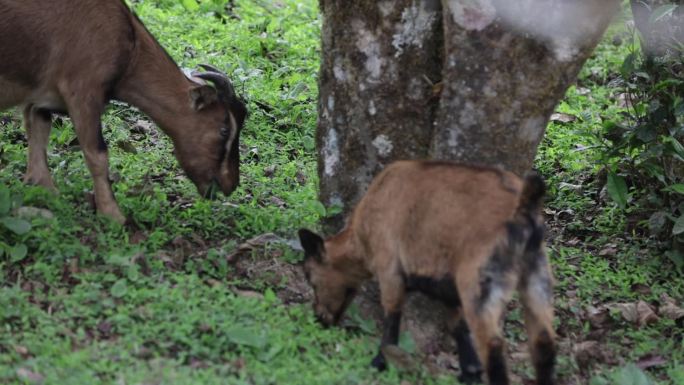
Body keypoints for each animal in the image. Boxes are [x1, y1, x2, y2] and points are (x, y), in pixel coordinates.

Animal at [0, 0, 246, 222]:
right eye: (224, 129)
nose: (231, 184)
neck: (131, 46)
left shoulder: (41, 98)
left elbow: (38, 132)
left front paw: (46, 191)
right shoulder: (82, 91)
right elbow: (97, 153)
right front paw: (113, 215)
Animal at [300, 160, 556, 384]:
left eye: (310, 278)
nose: (318, 318)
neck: (361, 237)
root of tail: (523, 204)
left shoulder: (389, 268)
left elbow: (392, 318)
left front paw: (379, 362)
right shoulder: (446, 288)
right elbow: (457, 326)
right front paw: (470, 372)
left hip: (479, 282)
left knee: (493, 344)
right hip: (537, 277)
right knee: (543, 342)